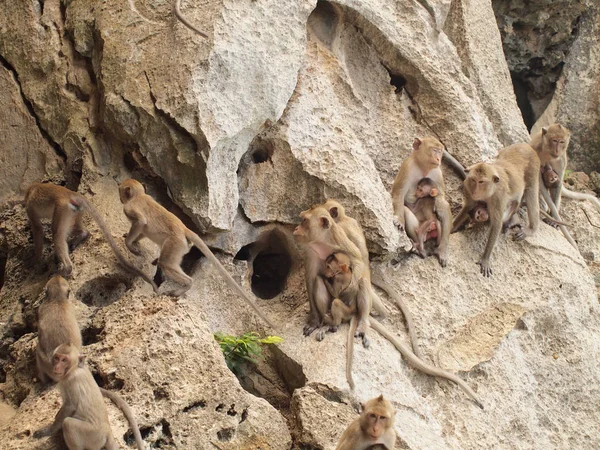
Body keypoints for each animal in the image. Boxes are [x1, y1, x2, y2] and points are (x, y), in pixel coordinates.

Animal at [24, 181, 158, 294]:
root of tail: (71, 193)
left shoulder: (29, 207)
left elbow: (38, 229)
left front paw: (36, 261)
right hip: (75, 211)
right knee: (74, 229)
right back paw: (82, 236)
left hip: (62, 208)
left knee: (57, 234)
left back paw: (66, 268)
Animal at [392, 137, 452, 268]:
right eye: (434, 150)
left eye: (440, 151)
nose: (438, 159)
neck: (423, 168)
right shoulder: (407, 166)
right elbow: (399, 193)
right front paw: (399, 220)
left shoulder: (438, 173)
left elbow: (442, 201)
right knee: (407, 212)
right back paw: (419, 247)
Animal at [452, 144, 540, 278]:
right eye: (473, 180)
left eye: (481, 182)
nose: (475, 191)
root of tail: (526, 145)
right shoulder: (468, 187)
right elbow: (467, 208)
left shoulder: (498, 197)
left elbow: (496, 224)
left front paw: (485, 259)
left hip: (533, 167)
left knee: (530, 192)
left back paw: (530, 228)